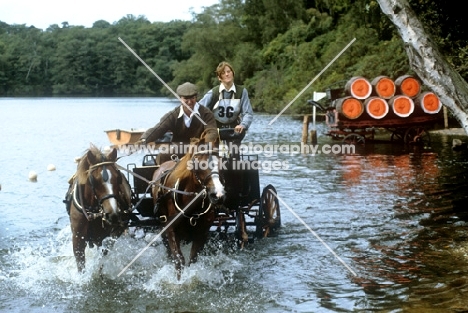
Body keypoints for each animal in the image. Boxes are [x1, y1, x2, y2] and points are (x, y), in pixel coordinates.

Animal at [153, 132, 226, 278]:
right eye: (199, 163)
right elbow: (179, 259)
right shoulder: (170, 230)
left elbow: (192, 259)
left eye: (221, 163)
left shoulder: (202, 233)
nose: (218, 194)